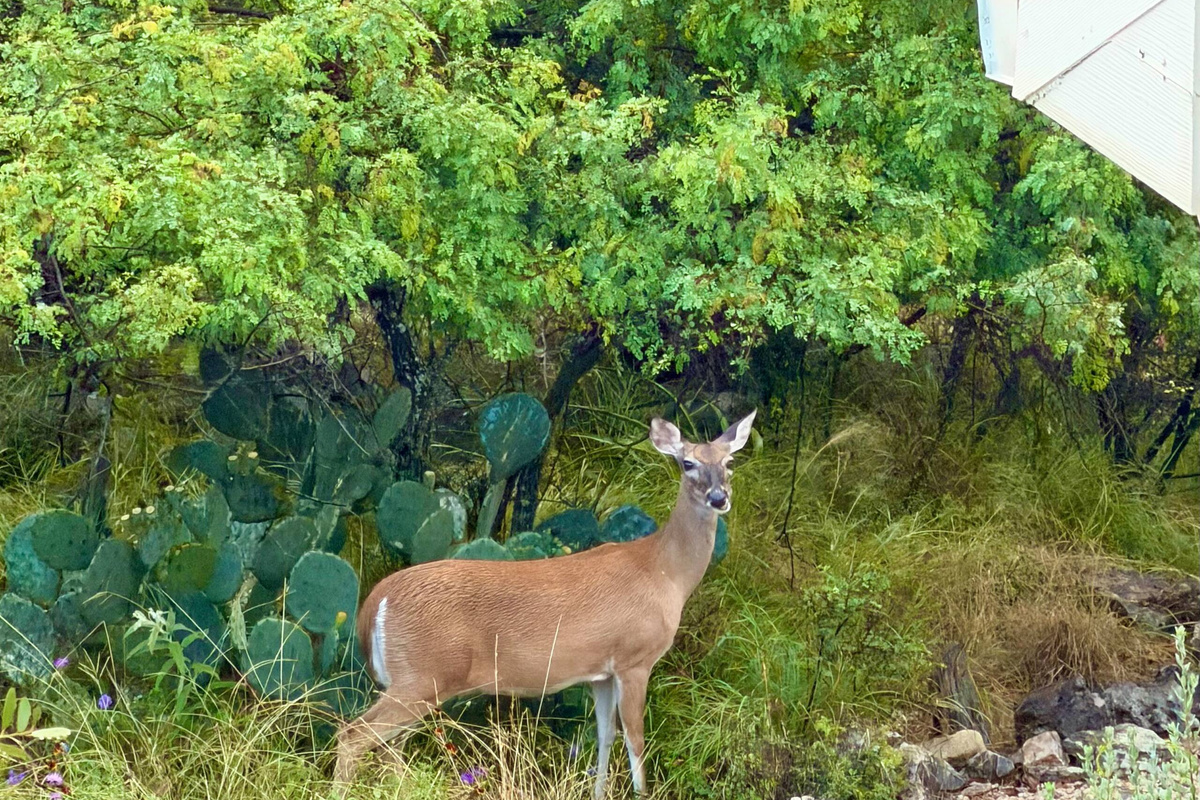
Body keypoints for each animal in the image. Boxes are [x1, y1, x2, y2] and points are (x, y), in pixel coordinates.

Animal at [335, 410, 756, 798]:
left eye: (730, 462)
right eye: (688, 463)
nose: (719, 498)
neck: (664, 572)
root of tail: (375, 601)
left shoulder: (600, 673)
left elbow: (605, 736)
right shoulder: (634, 658)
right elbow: (635, 740)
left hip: (411, 682)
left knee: (388, 747)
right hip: (423, 677)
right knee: (353, 735)